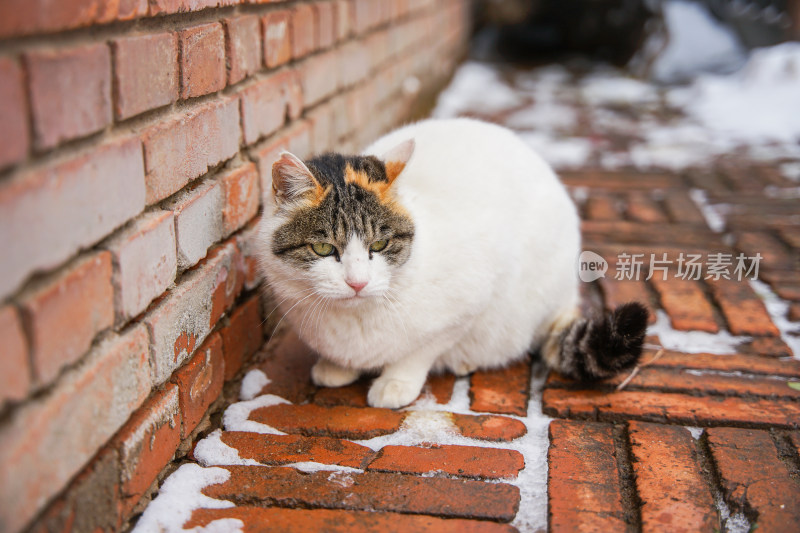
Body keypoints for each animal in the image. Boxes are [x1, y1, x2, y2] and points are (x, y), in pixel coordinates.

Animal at [260, 116, 648, 408]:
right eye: (323, 248)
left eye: (380, 244)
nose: (357, 282)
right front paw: (337, 367)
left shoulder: (467, 304)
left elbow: (420, 351)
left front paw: (395, 382)